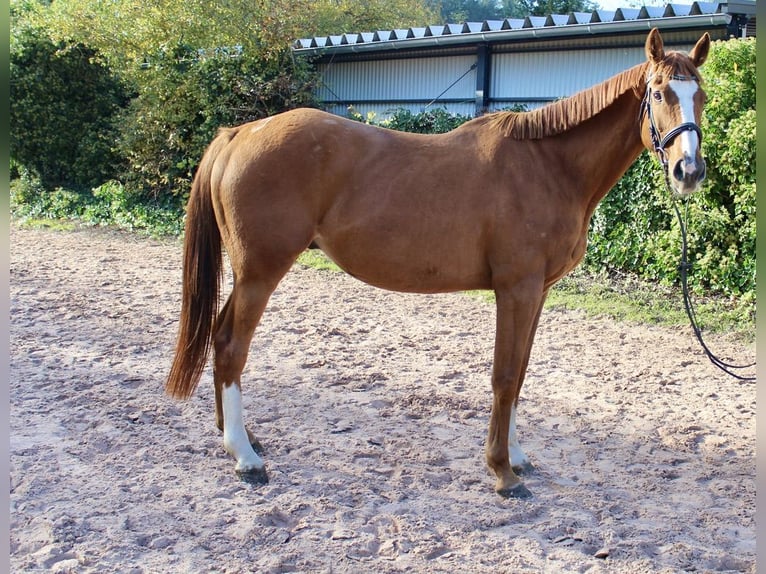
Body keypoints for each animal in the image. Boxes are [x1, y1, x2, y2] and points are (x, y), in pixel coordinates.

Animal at [166, 30, 712, 500]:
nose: (689, 171)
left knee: (218, 337)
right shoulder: (516, 289)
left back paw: (237, 436)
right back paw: (245, 457)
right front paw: (501, 471)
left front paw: (517, 456)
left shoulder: (538, 291)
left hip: (248, 275)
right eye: (659, 93)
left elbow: (522, 373)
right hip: (261, 272)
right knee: (232, 347)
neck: (547, 166)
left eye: (702, 96)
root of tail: (240, 133)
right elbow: (505, 376)